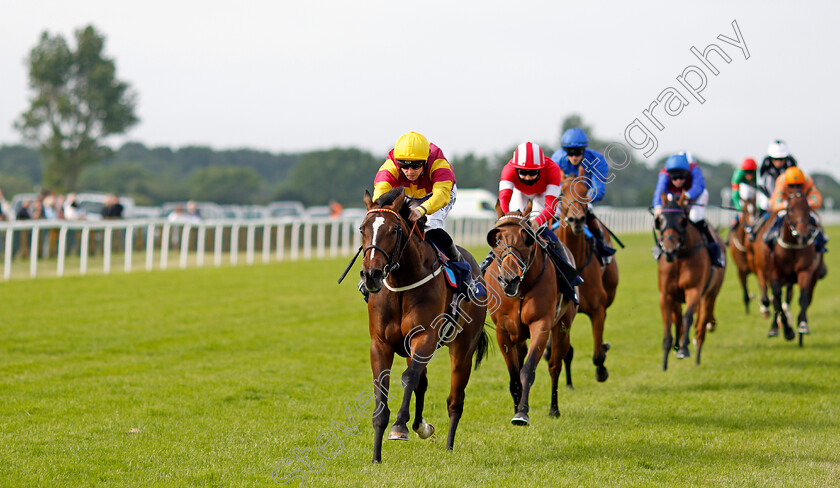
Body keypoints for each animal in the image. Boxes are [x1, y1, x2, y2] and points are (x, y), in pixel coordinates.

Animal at [358, 189, 488, 464]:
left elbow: (409, 377)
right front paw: (376, 457)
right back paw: (421, 426)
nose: (371, 275)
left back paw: (448, 445)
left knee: (454, 400)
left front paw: (399, 426)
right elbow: (383, 388)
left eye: (394, 230)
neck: (401, 282)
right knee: (422, 381)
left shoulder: (426, 337)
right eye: (362, 229)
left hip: (462, 349)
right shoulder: (380, 344)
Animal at [480, 200, 576, 426]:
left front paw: (522, 413)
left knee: (555, 365)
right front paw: (516, 408)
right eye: (495, 239)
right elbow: (514, 375)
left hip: (563, 326)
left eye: (526, 238)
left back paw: (554, 409)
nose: (509, 280)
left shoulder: (541, 324)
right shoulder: (504, 331)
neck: (521, 291)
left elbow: (528, 370)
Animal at [556, 177, 616, 384]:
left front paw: (602, 370)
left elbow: (597, 353)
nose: (576, 220)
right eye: (562, 193)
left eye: (586, 192)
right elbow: (565, 352)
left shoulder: (598, 308)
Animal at [652, 193, 724, 368]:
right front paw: (667, 355)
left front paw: (684, 349)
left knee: (701, 324)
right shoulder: (666, 295)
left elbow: (688, 317)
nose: (669, 250)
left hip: (709, 295)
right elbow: (670, 320)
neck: (680, 257)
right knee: (680, 319)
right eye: (660, 220)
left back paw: (697, 354)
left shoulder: (694, 290)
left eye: (682, 220)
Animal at [760, 193, 820, 346]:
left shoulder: (805, 271)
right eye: (790, 209)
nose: (803, 235)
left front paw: (802, 325)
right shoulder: (774, 272)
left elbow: (803, 297)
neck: (792, 245)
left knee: (807, 297)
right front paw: (787, 331)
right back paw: (775, 327)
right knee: (776, 300)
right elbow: (777, 298)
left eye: (807, 209)